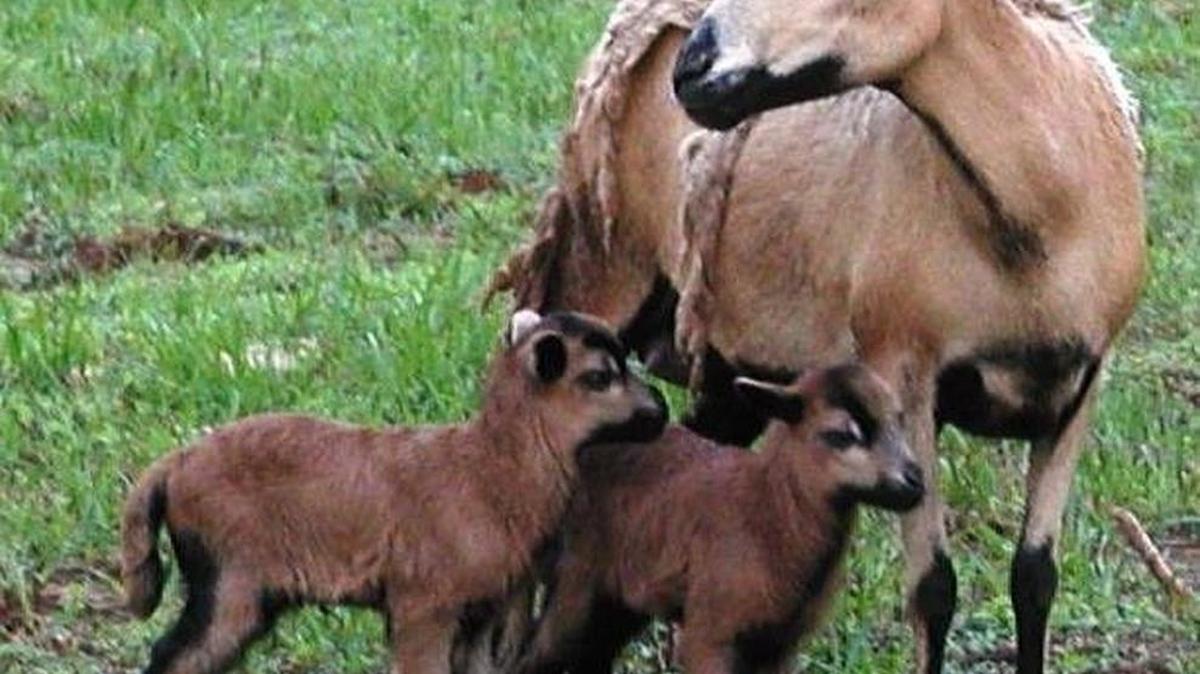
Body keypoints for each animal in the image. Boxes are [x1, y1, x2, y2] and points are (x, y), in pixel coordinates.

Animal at [119, 310, 667, 674]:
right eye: (599, 377)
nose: (659, 410)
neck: (492, 471)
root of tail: (173, 465)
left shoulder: (483, 610)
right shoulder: (423, 603)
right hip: (230, 579)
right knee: (176, 655)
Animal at [515, 364, 925, 674]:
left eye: (899, 420)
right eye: (839, 435)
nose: (915, 483)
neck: (768, 514)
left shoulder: (780, 643)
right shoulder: (711, 631)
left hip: (620, 597)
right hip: (576, 579)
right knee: (538, 657)